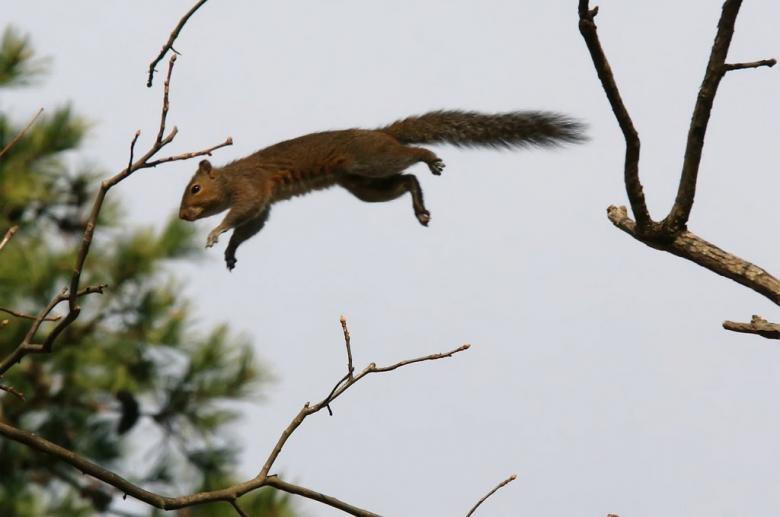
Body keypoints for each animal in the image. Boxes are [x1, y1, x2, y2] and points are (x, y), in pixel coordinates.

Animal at [178, 110, 586, 270]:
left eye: (195, 188)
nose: (182, 217)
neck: (229, 178)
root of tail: (383, 134)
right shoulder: (263, 204)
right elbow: (249, 227)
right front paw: (231, 250)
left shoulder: (250, 189)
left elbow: (238, 214)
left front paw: (215, 233)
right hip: (364, 185)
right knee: (407, 181)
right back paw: (420, 207)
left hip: (371, 162)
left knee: (411, 156)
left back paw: (429, 157)